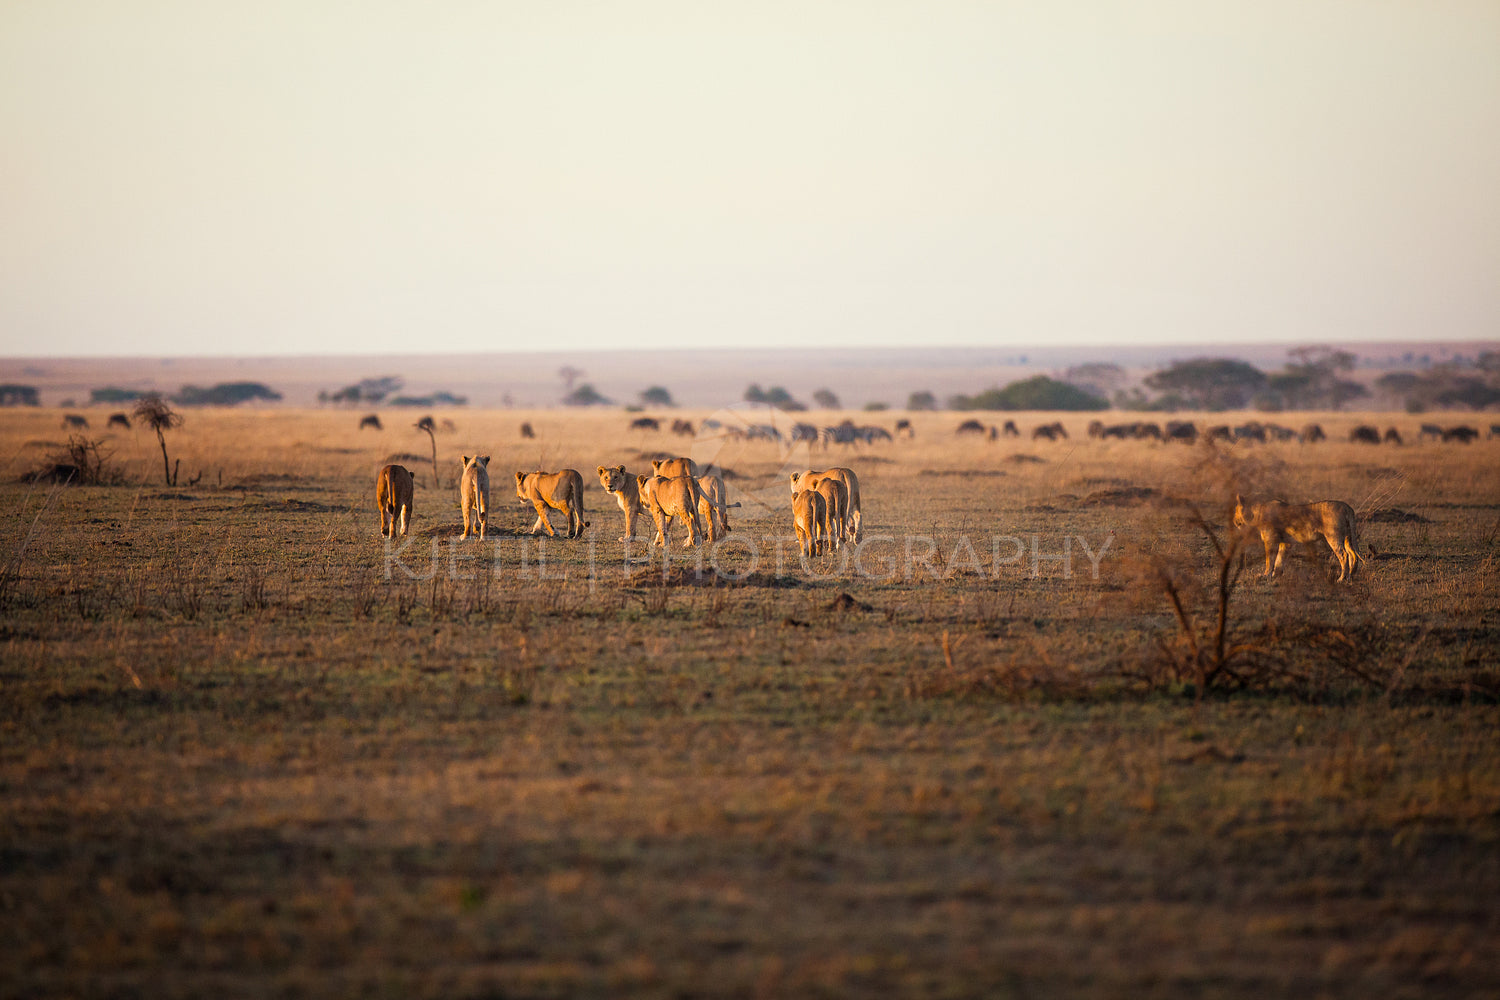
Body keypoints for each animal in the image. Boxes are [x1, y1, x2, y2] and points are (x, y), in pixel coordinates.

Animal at [1236, 494, 1368, 581]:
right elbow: (1279, 559)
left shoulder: (1270, 540)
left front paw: (1265, 575)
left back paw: (1341, 579)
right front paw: (1275, 575)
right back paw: (1350, 575)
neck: (1257, 512)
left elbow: (1270, 559)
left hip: (1333, 536)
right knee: (1352, 554)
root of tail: (1346, 506)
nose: (1234, 521)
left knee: (1344, 555)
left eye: (1235, 510)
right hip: (1348, 537)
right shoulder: (1286, 542)